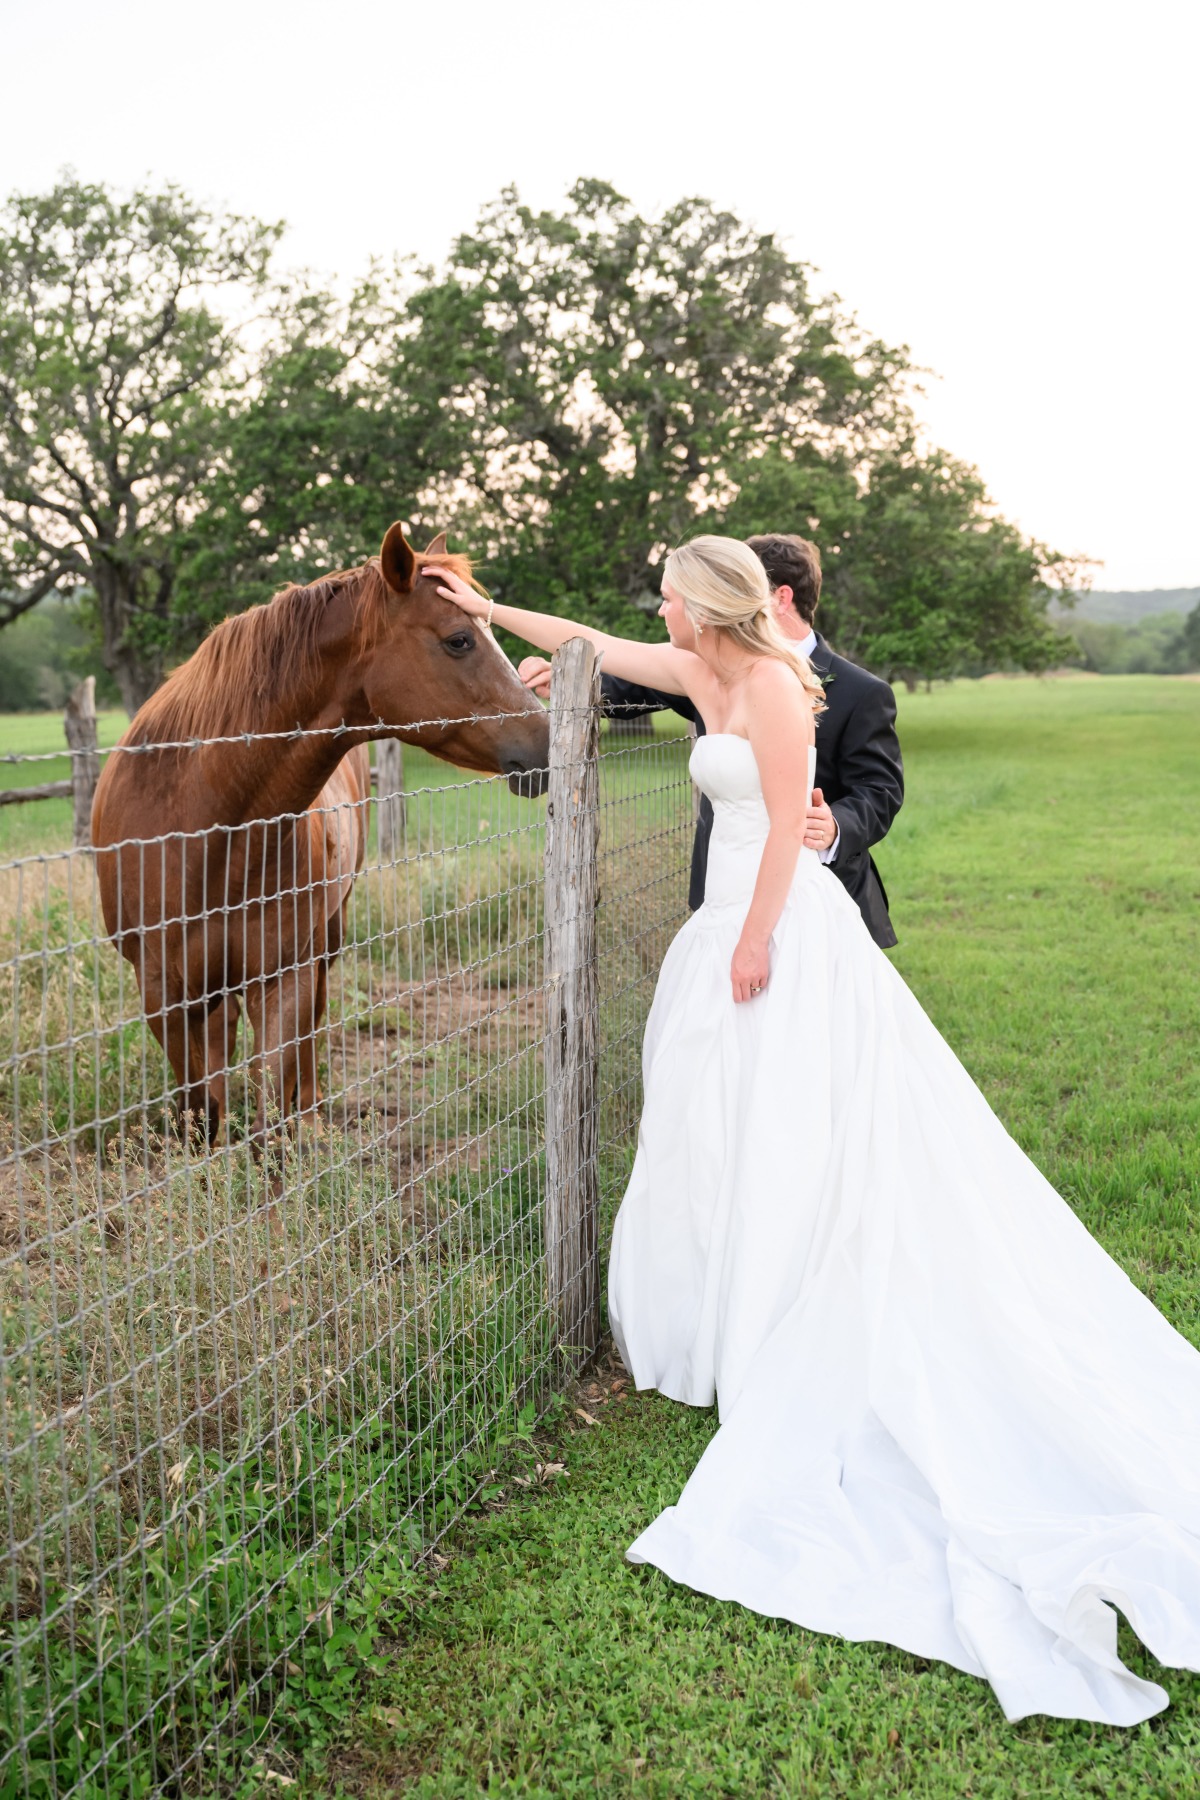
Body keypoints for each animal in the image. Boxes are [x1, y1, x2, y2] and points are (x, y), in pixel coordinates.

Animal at [91, 523, 549, 1144]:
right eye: (459, 640)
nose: (549, 738)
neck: (208, 825)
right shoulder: (163, 993)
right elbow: (201, 1115)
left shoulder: (282, 978)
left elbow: (267, 1127)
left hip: (325, 939)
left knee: (309, 1034)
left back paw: (308, 1117)